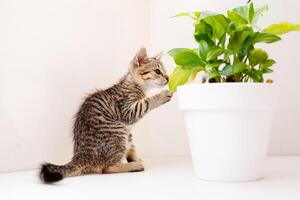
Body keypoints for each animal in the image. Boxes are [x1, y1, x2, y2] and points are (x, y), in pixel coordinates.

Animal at [39, 48, 173, 183]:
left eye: (165, 71)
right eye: (157, 71)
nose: (168, 78)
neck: (135, 84)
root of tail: (80, 156)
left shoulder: (128, 131)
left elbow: (132, 146)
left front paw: (134, 157)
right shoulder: (127, 110)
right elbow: (146, 103)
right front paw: (163, 95)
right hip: (118, 131)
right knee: (108, 168)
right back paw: (135, 166)